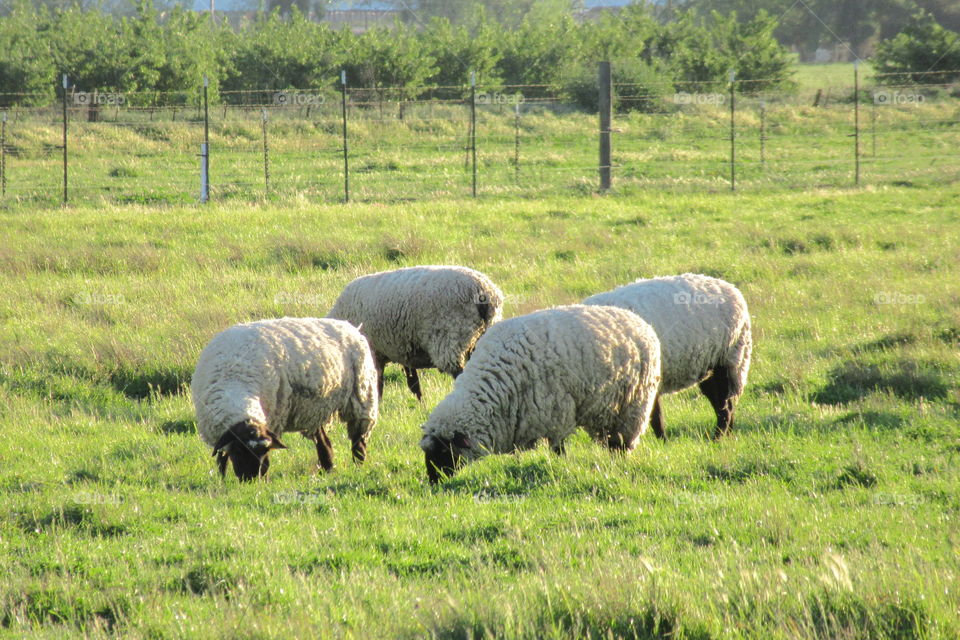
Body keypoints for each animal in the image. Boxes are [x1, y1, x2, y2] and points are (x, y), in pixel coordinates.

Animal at [192, 317, 379, 481]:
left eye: (264, 451)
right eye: (238, 450)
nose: (251, 479)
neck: (235, 381)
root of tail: (349, 326)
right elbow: (221, 458)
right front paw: (222, 478)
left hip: (362, 395)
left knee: (358, 440)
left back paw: (358, 466)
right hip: (313, 409)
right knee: (324, 441)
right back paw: (328, 468)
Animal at [327, 265, 504, 401]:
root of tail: (483, 291)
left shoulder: (374, 351)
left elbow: (378, 385)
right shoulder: (401, 350)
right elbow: (413, 383)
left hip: (451, 336)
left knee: (459, 373)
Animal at [419, 304, 661, 483]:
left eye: (444, 452)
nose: (433, 482)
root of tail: (639, 322)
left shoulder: (557, 413)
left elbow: (557, 447)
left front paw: (560, 465)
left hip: (633, 404)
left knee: (622, 443)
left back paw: (619, 463)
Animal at [583, 273, 751, 439]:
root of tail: (730, 287)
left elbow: (655, 417)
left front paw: (662, 441)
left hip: (728, 359)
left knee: (725, 406)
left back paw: (717, 437)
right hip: (708, 366)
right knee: (723, 403)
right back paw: (726, 436)